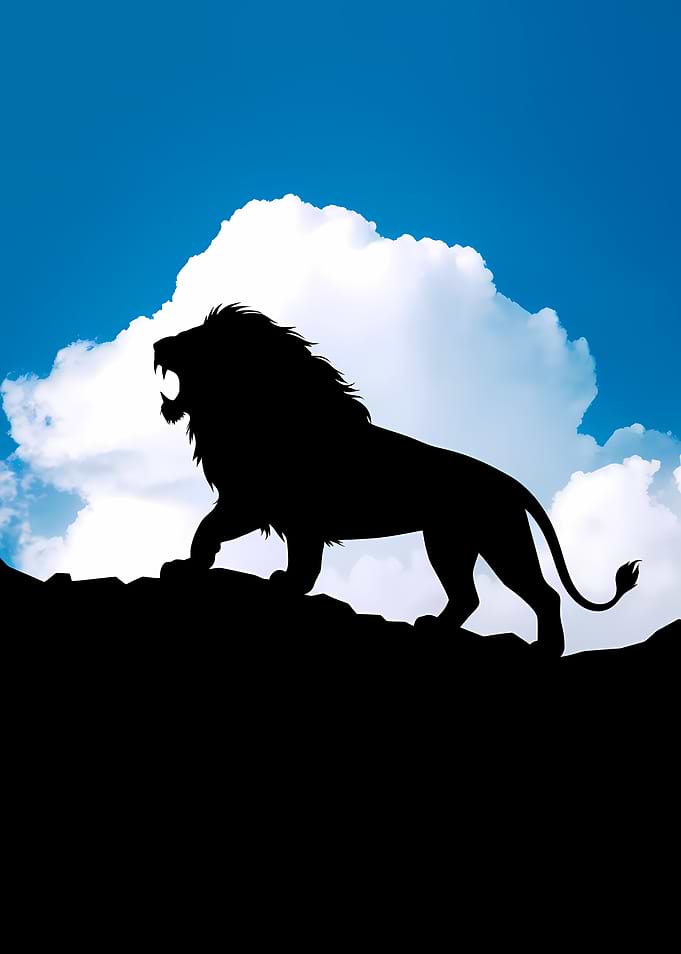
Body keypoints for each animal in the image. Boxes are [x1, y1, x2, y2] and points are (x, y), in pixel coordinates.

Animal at [155, 303, 640, 656]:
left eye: (201, 340)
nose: (158, 344)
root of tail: (508, 480)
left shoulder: (260, 504)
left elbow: (212, 530)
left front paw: (193, 567)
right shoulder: (277, 512)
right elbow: (286, 557)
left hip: (498, 540)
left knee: (543, 595)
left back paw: (546, 650)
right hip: (451, 543)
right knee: (468, 597)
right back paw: (435, 629)